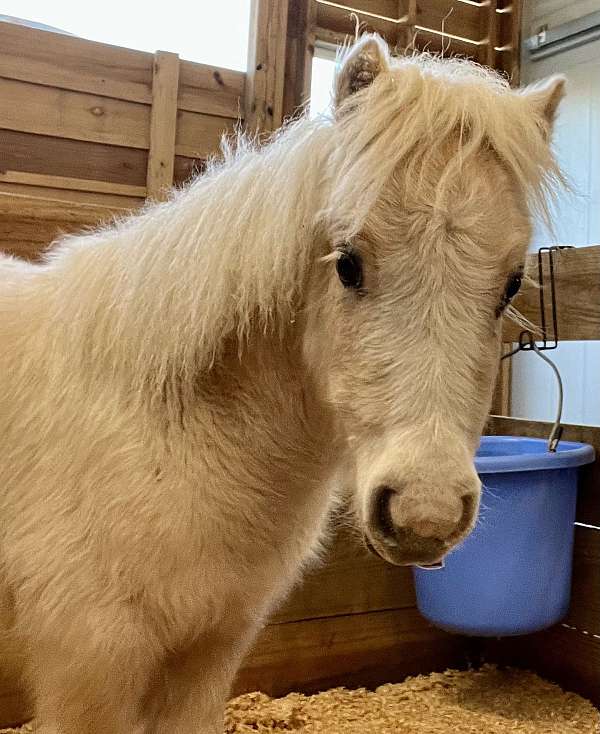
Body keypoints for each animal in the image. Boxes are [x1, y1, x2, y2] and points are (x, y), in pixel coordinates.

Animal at [0, 36, 564, 734]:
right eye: (347, 263)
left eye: (511, 284)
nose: (424, 514)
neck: (160, 426)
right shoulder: (89, 669)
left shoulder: (206, 658)